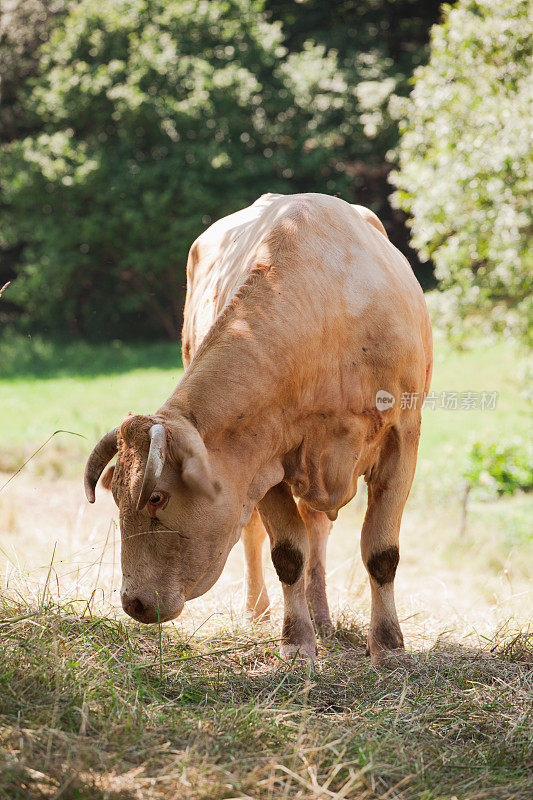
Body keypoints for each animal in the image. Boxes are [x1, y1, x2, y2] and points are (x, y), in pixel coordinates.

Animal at [84, 192, 432, 664]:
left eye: (156, 497)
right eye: (116, 494)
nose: (133, 602)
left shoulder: (403, 438)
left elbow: (380, 552)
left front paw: (389, 646)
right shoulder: (263, 459)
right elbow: (287, 553)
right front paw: (296, 641)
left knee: (317, 527)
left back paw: (323, 616)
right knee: (260, 533)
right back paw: (259, 611)